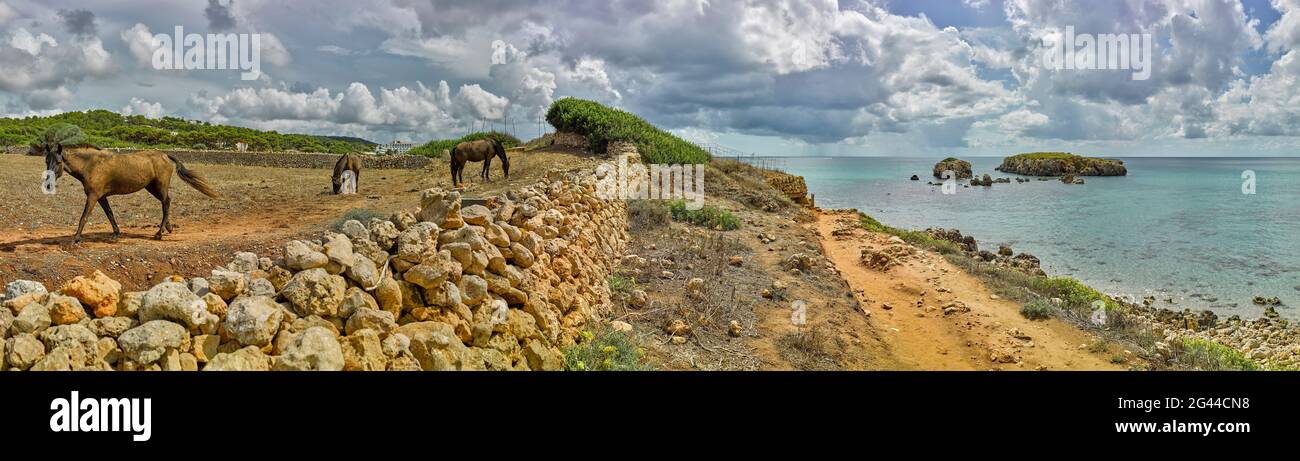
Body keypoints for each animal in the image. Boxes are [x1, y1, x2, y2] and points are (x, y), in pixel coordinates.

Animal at [36, 143, 220, 244]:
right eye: (46, 160)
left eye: (58, 161)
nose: (48, 184)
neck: (92, 165)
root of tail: (165, 155)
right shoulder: (101, 197)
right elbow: (110, 215)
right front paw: (116, 235)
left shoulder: (93, 196)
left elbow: (84, 217)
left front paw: (75, 239)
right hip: (152, 188)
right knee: (166, 203)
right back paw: (168, 228)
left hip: (159, 187)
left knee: (166, 203)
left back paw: (159, 233)